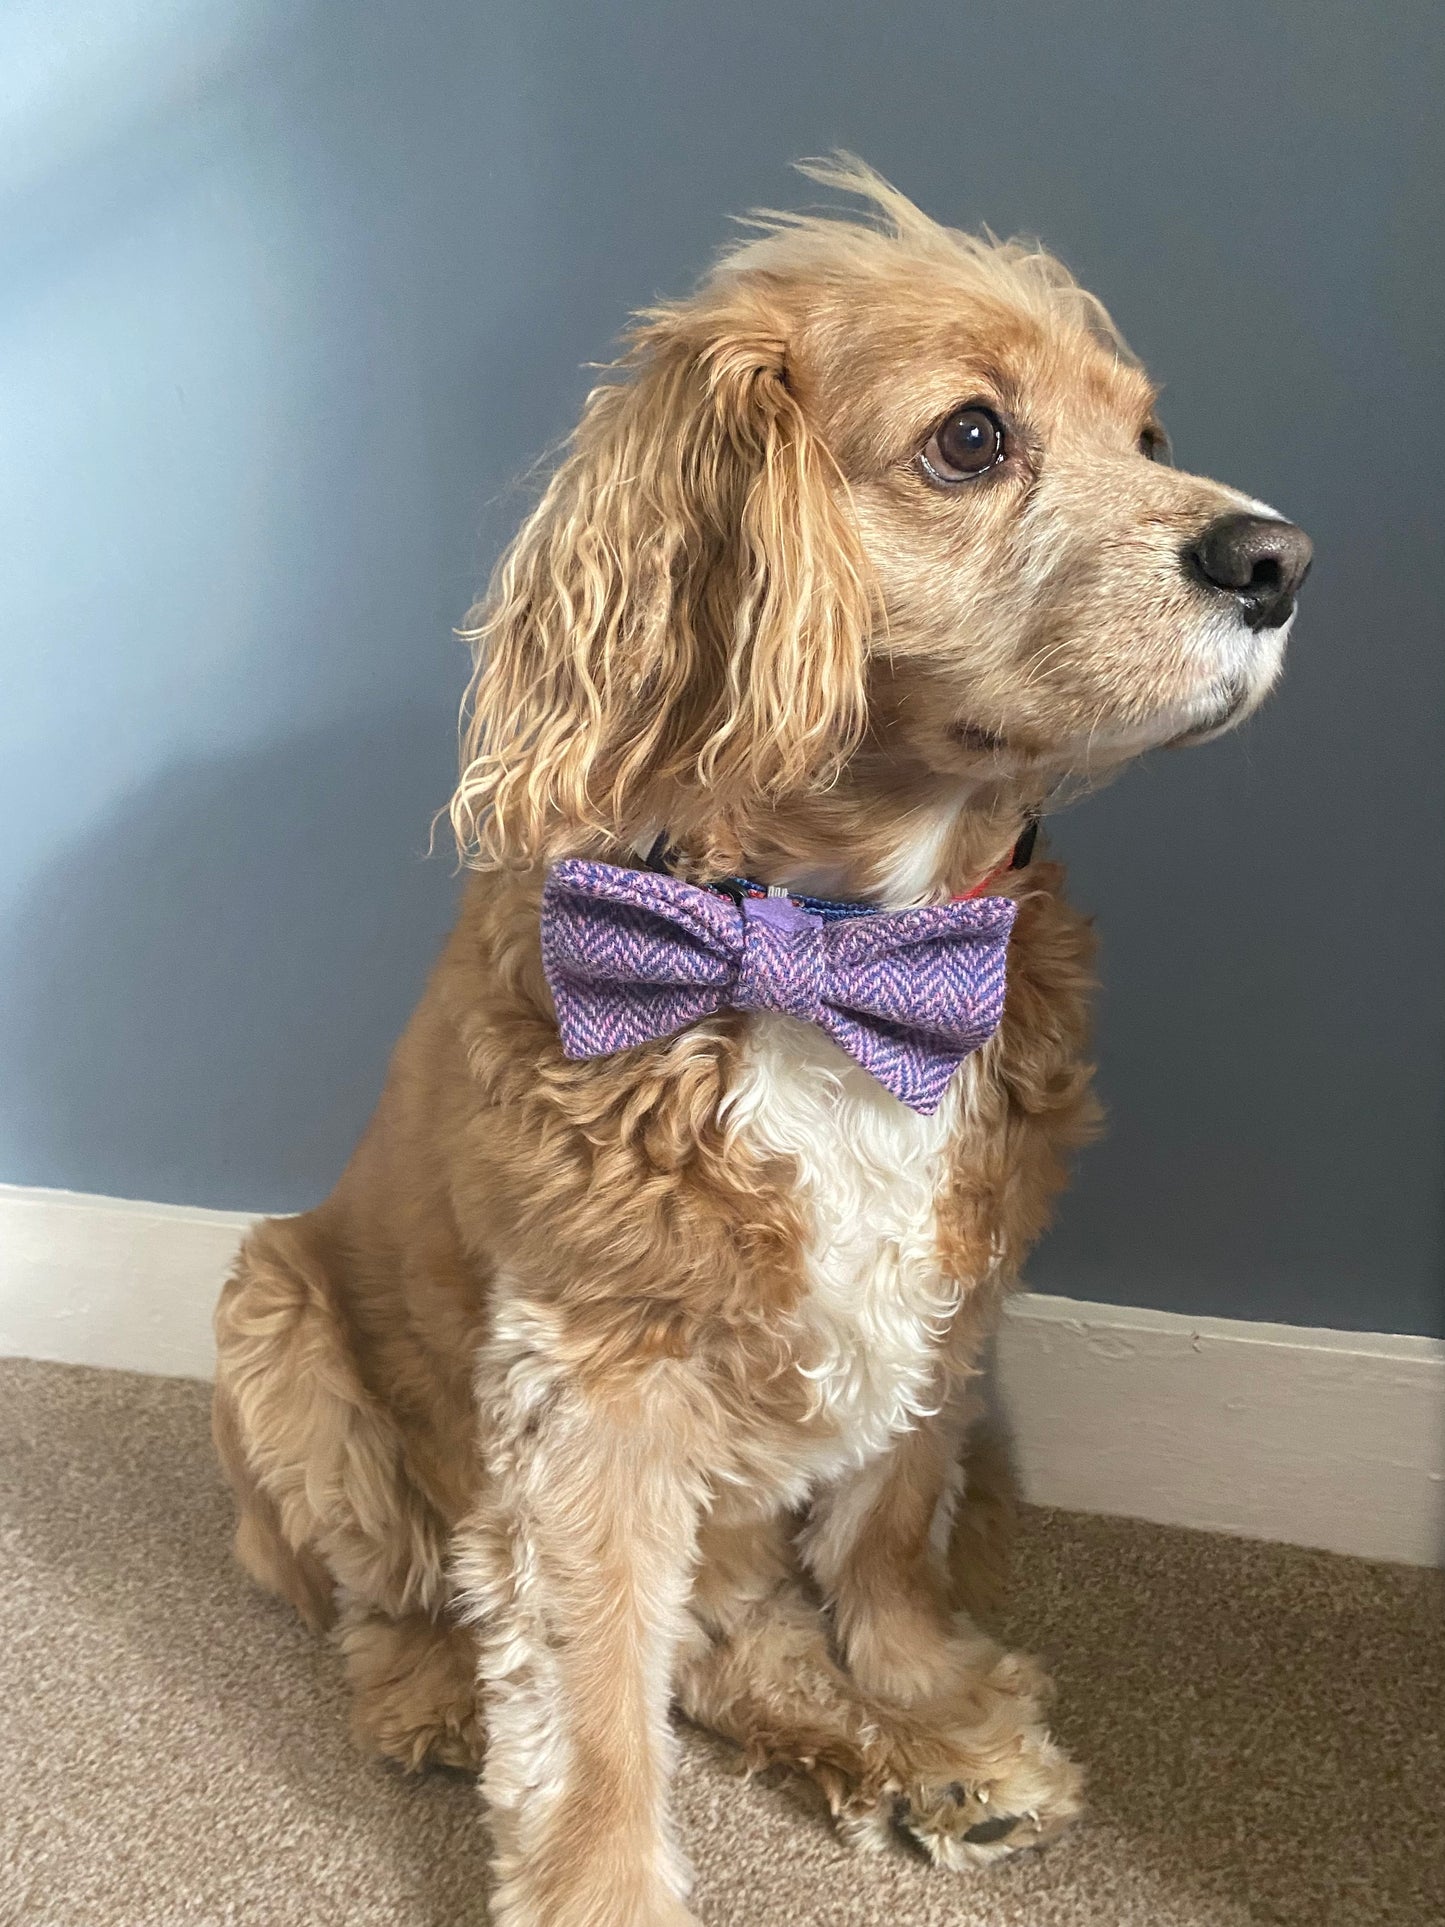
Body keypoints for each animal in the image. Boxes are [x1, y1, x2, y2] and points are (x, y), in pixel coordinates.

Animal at [211, 158, 1310, 1919]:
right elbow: (593, 1692)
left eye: (1146, 432)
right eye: (971, 438)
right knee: (388, 1597)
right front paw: (600, 1887)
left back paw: (920, 1761)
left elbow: (885, 1525)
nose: (1278, 557)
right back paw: (431, 1694)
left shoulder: (949, 1298)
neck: (825, 941)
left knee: (730, 1637)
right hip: (278, 1329)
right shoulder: (591, 1377)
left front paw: (921, 1694)